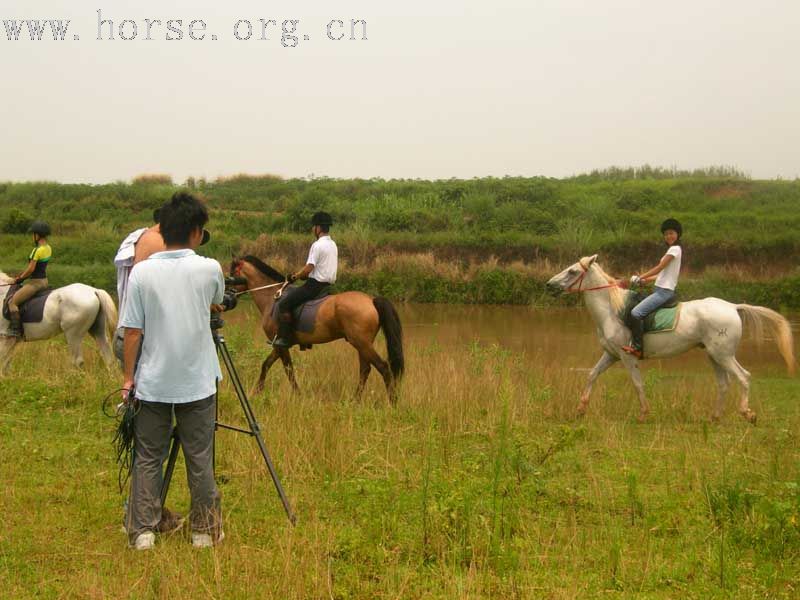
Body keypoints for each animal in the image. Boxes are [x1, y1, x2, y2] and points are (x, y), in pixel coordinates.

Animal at [230, 256, 406, 404]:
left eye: (232, 275)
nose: (228, 296)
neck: (272, 298)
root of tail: (371, 300)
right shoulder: (279, 345)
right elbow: (266, 364)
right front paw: (257, 391)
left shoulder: (280, 344)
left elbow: (288, 369)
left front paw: (297, 394)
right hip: (362, 344)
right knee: (365, 370)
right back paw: (355, 401)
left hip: (362, 343)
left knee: (383, 368)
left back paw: (393, 402)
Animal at [548, 255, 796, 424]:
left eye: (572, 271)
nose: (549, 285)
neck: (612, 311)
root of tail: (733, 306)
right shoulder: (611, 355)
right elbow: (592, 374)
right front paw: (581, 409)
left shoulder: (627, 357)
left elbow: (637, 383)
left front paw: (643, 414)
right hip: (714, 355)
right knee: (724, 383)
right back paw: (715, 417)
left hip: (723, 354)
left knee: (743, 377)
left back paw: (747, 413)